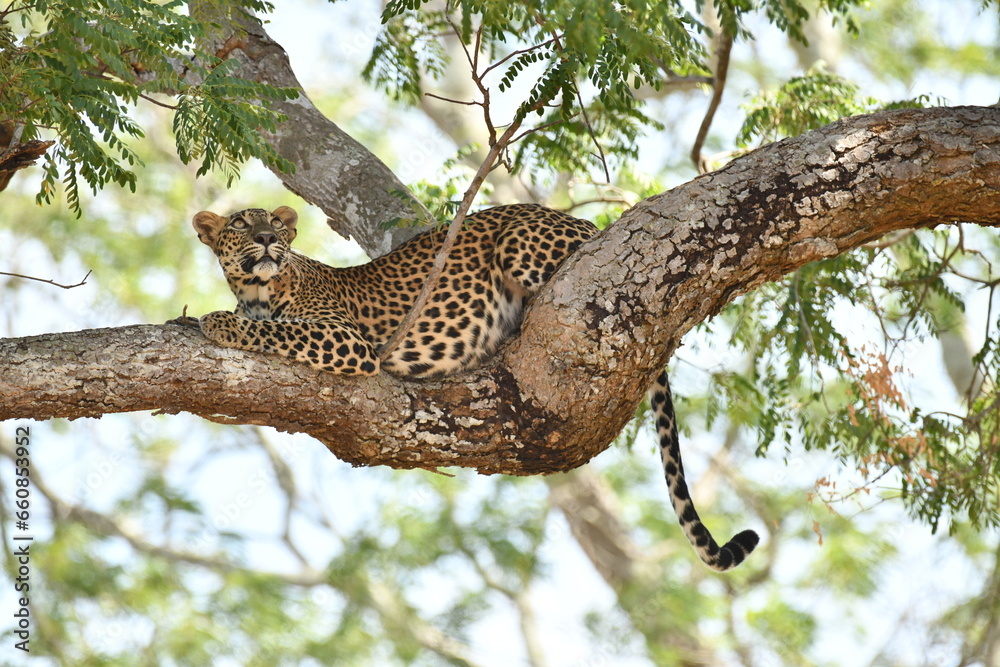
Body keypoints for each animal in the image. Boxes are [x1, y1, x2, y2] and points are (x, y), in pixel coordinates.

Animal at [178, 203, 759, 571]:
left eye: (276, 225)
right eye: (241, 223)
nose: (267, 238)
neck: (257, 290)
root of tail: (584, 221)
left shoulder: (345, 339)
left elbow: (273, 330)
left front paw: (215, 322)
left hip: (520, 241)